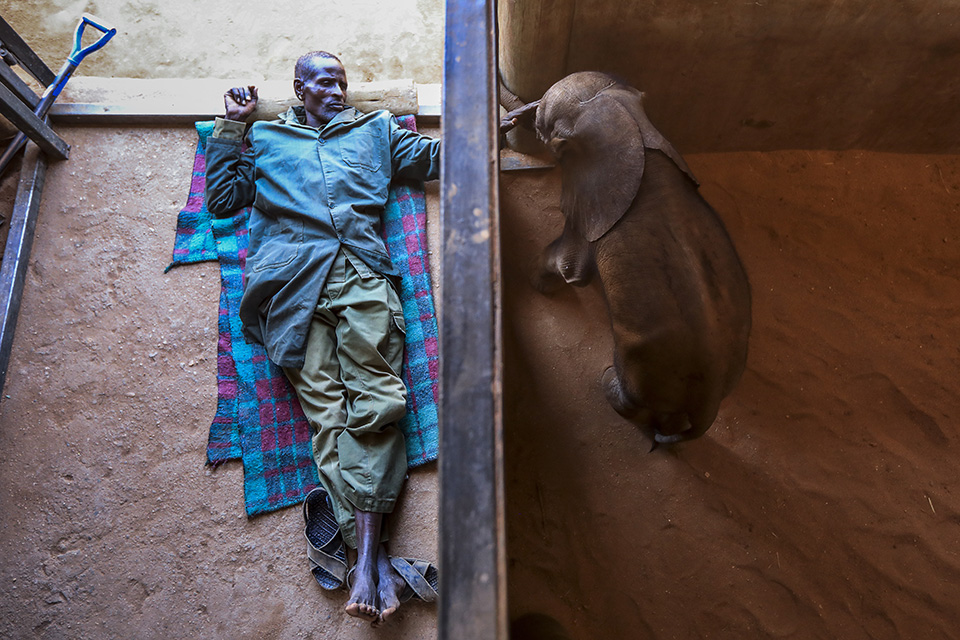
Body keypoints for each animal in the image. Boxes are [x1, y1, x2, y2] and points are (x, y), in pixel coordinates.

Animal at [532, 71, 752, 444]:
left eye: (547, 127)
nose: (527, 114)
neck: (626, 119)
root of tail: (711, 401)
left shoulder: (587, 207)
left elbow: (569, 266)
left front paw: (538, 286)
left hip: (643, 361)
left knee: (632, 393)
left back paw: (608, 384)